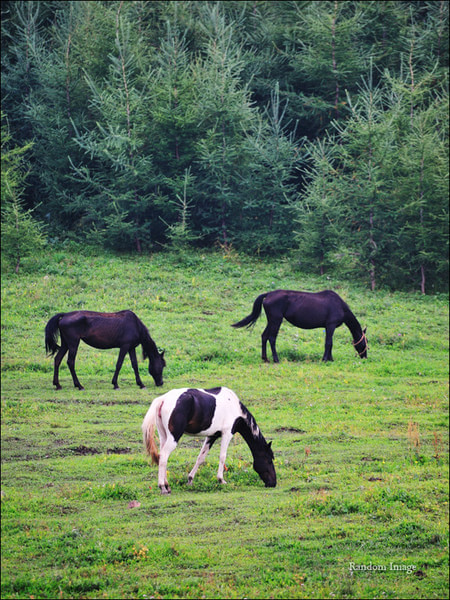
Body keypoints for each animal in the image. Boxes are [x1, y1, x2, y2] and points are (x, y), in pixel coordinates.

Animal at [142, 386, 276, 494]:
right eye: (269, 460)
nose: (273, 483)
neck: (235, 408)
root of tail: (163, 399)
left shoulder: (212, 436)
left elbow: (201, 457)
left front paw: (190, 480)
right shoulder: (227, 433)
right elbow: (222, 456)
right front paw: (221, 480)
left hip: (164, 436)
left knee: (161, 457)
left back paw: (167, 485)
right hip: (174, 437)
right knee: (164, 456)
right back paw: (162, 487)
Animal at [234, 290, 368, 364]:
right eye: (366, 341)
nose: (365, 356)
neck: (340, 306)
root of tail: (268, 294)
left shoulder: (328, 327)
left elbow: (329, 343)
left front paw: (330, 359)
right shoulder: (331, 325)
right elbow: (329, 343)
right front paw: (325, 359)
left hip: (271, 321)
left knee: (264, 336)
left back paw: (265, 358)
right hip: (276, 320)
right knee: (272, 338)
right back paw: (276, 359)